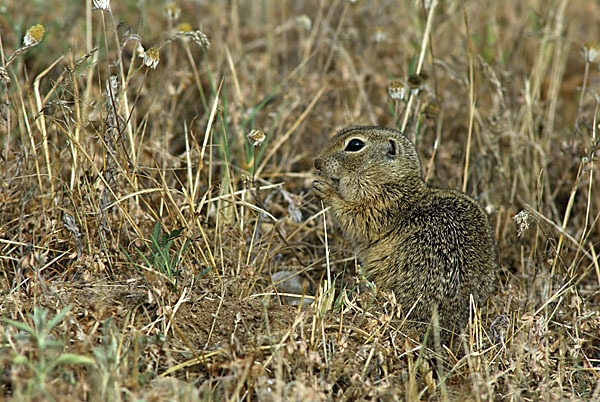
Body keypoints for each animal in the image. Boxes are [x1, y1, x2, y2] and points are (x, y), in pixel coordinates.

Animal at [312, 125, 494, 342]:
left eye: (355, 144)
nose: (316, 163)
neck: (392, 181)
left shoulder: (380, 208)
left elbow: (353, 217)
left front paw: (325, 190)